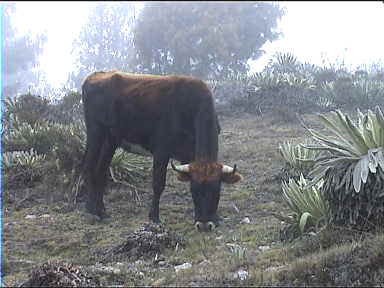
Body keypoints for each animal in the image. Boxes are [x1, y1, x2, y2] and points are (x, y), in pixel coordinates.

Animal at [81, 71, 243, 232]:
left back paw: (101, 210)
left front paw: (216, 218)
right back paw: (91, 210)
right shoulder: (161, 151)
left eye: (217, 191)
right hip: (95, 132)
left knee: (101, 171)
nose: (204, 225)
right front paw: (154, 217)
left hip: (110, 140)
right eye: (194, 191)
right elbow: (158, 184)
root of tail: (96, 75)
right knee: (89, 166)